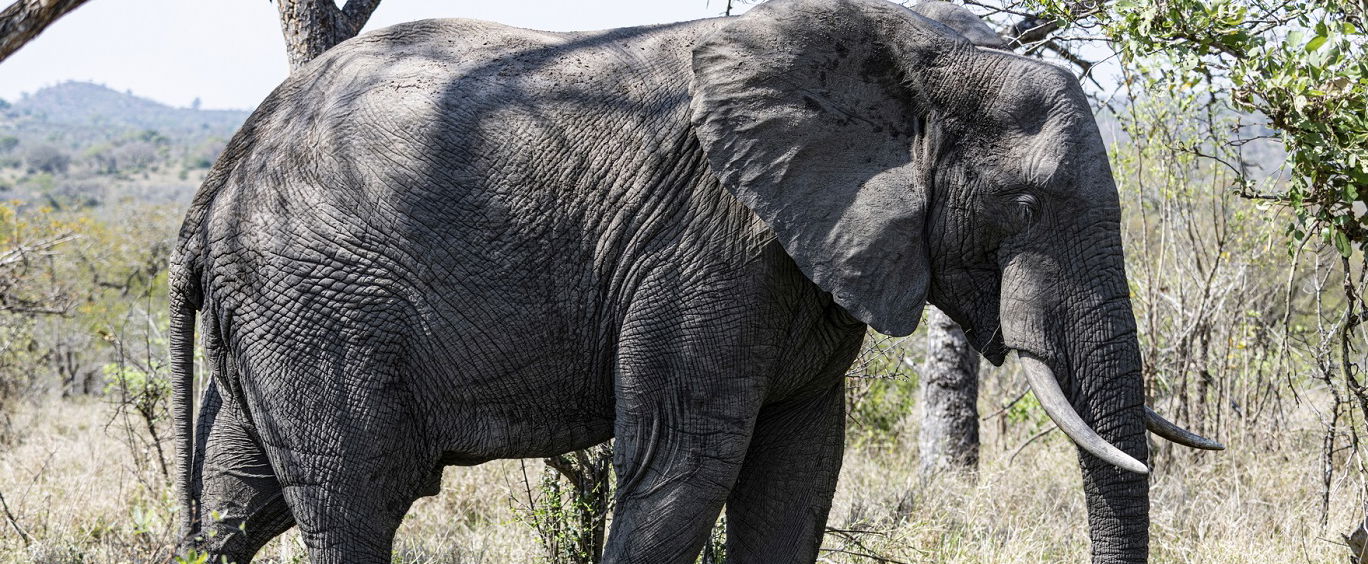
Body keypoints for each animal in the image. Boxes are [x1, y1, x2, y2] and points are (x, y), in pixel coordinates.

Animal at [165, 0, 1225, 561]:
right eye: (1027, 206)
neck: (907, 48)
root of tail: (216, 179)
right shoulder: (706, 240)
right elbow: (687, 462)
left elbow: (799, 467)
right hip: (314, 301)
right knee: (353, 502)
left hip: (275, 312)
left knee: (236, 500)